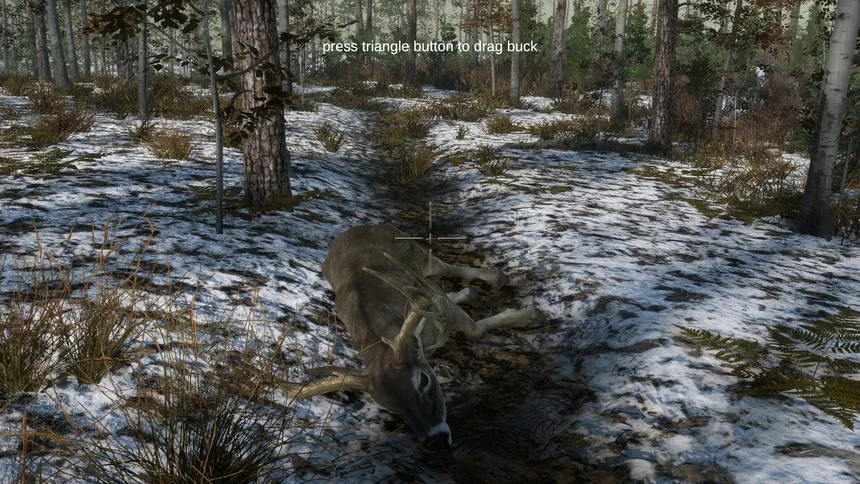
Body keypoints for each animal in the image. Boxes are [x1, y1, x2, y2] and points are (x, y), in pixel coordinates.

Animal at [284, 224, 546, 450]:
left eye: (423, 380)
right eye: (390, 406)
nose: (435, 441)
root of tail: (358, 228)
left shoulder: (442, 315)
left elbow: (474, 329)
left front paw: (533, 314)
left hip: (415, 251)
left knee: (445, 268)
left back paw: (497, 278)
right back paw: (466, 292)